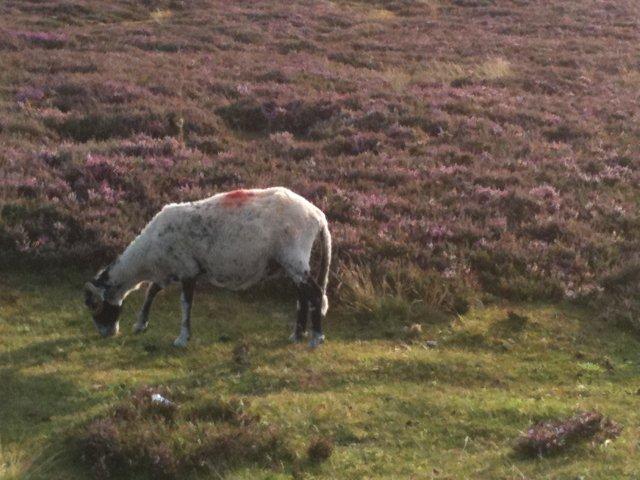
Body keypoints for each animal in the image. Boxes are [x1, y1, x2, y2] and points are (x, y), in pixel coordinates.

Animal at [83, 186, 332, 346]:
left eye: (96, 306)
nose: (106, 334)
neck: (147, 255)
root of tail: (318, 215)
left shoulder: (187, 269)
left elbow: (185, 303)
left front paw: (182, 338)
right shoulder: (169, 270)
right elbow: (151, 291)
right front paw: (140, 324)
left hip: (294, 256)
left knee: (315, 293)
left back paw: (316, 338)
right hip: (291, 262)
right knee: (302, 296)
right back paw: (297, 335)